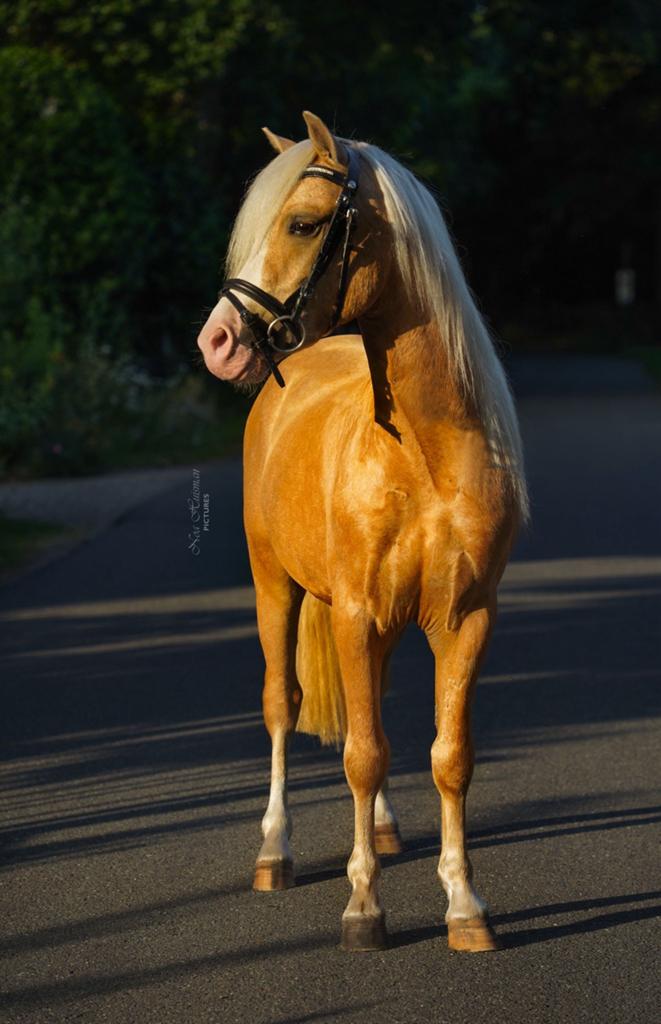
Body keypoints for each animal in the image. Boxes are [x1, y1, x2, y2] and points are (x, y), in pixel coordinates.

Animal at [197, 111, 528, 953]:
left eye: (303, 223)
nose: (217, 343)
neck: (424, 455)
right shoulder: (352, 613)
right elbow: (362, 754)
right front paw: (362, 909)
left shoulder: (463, 619)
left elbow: (445, 755)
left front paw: (464, 906)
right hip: (274, 588)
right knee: (281, 705)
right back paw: (274, 854)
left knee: (362, 708)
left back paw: (378, 833)